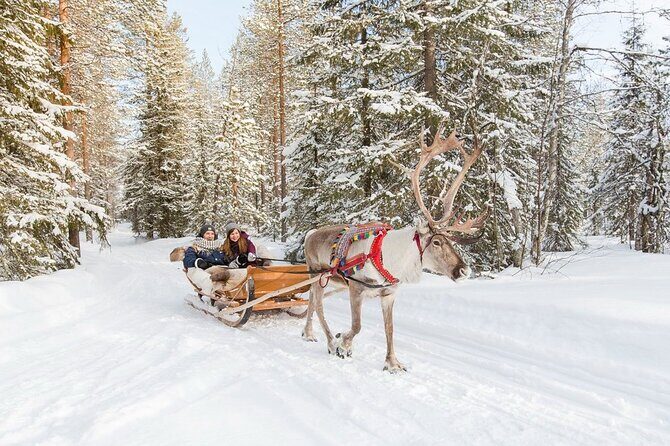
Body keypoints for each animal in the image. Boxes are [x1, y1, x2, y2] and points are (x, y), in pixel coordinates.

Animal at [301, 123, 487, 372]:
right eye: (437, 242)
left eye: (451, 241)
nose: (464, 271)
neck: (389, 259)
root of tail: (310, 235)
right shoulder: (356, 288)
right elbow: (357, 326)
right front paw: (343, 344)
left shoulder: (389, 294)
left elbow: (390, 329)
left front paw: (392, 363)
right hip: (317, 273)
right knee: (319, 305)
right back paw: (330, 341)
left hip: (323, 279)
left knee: (311, 300)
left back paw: (308, 333)